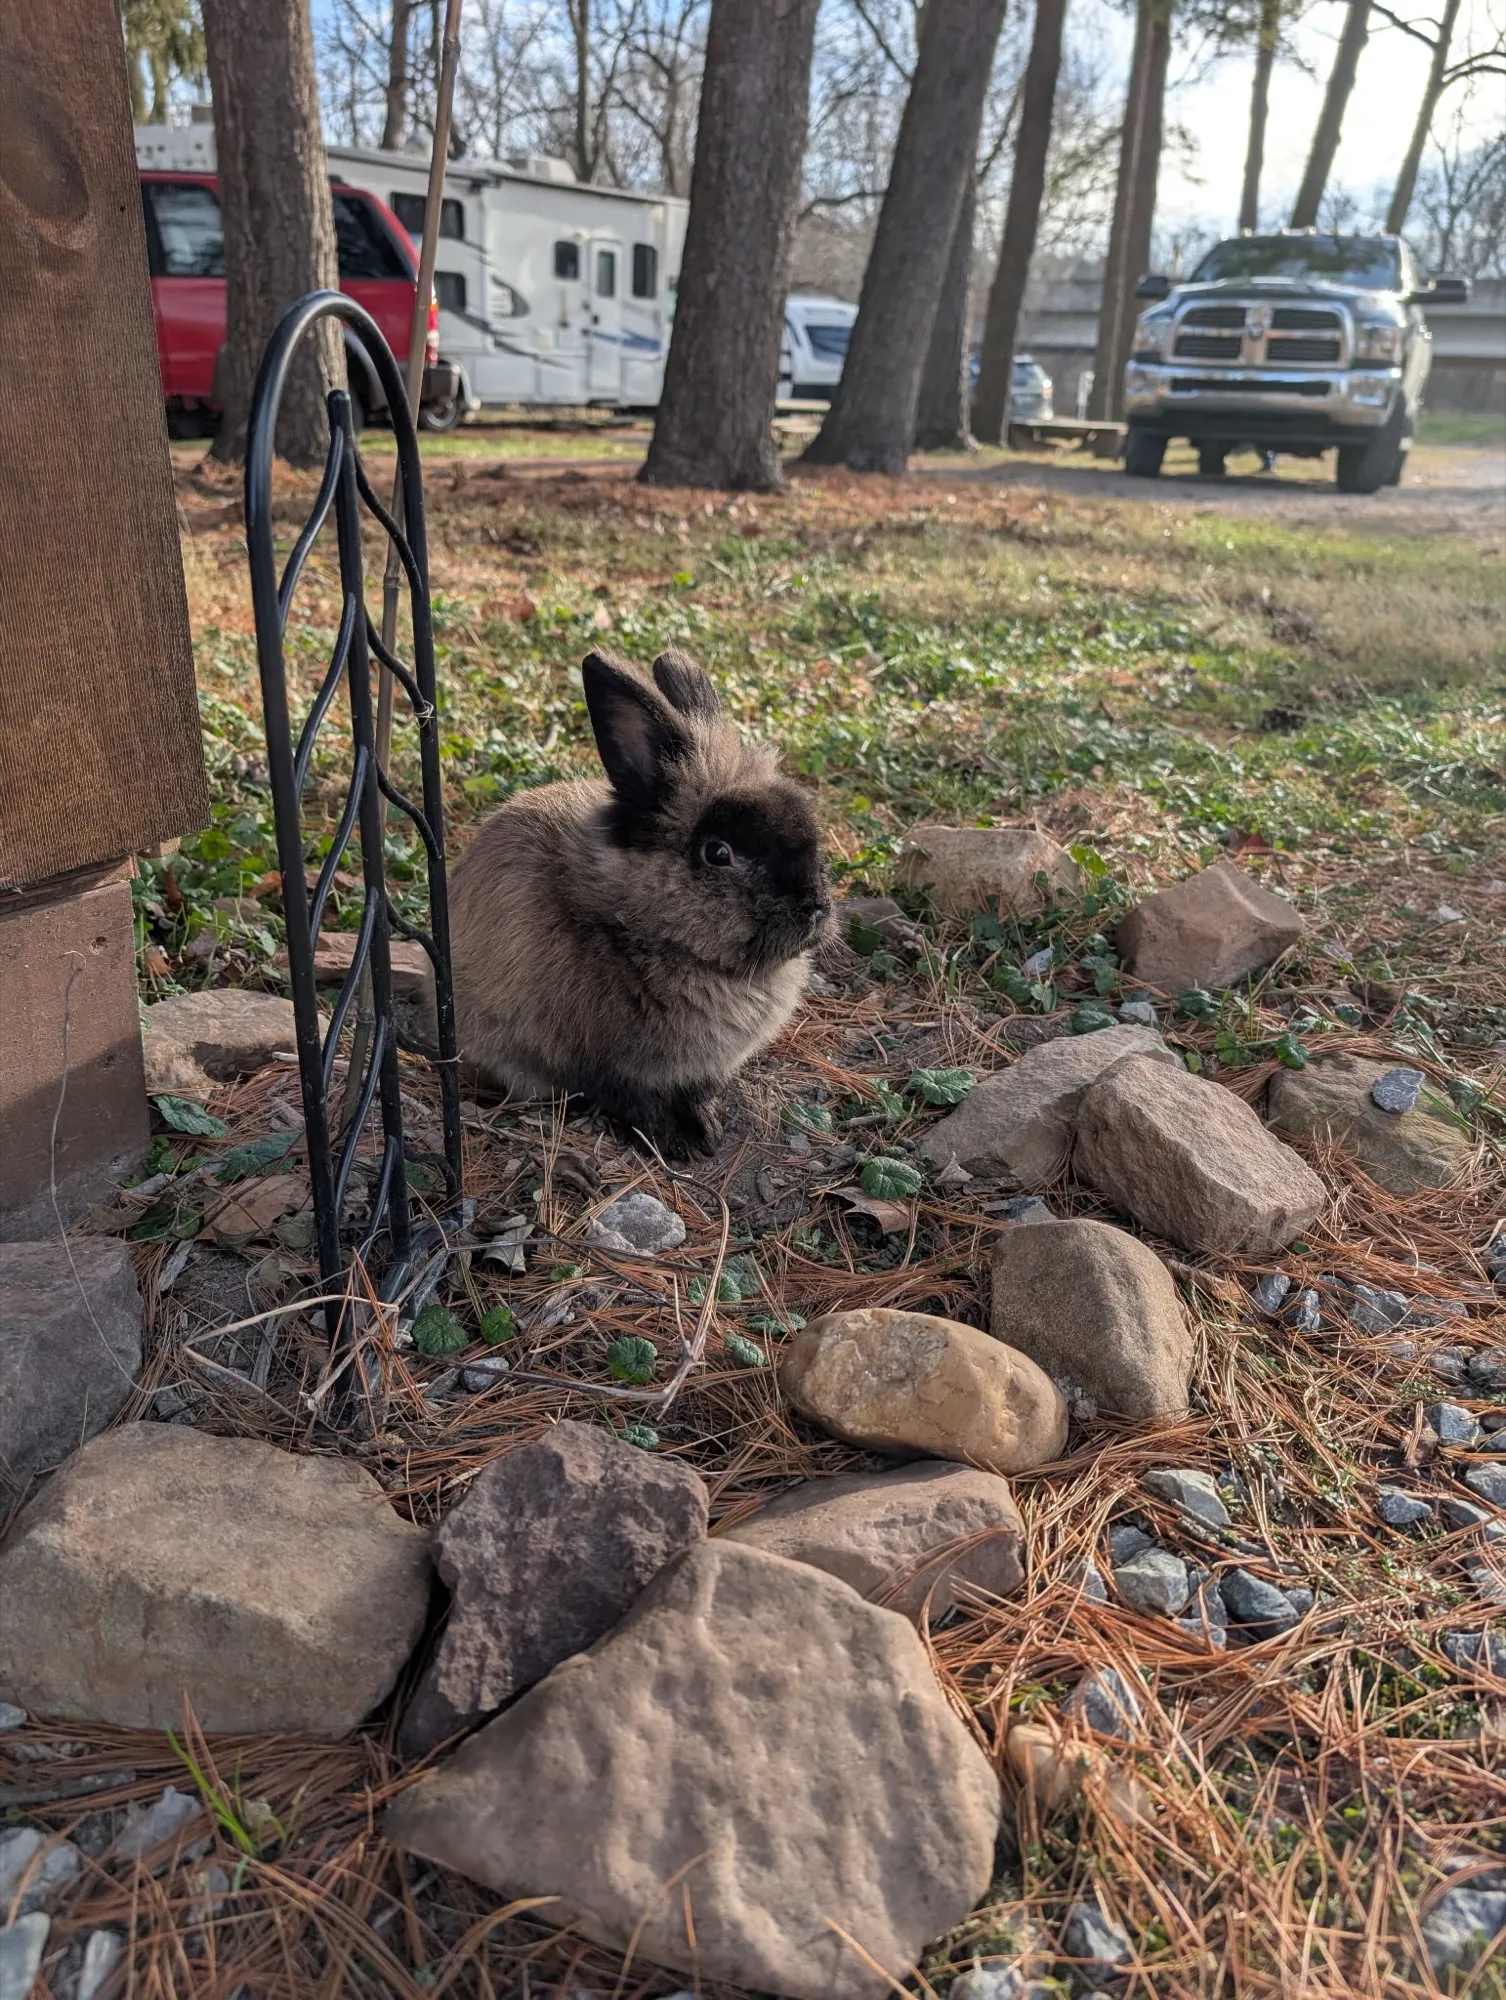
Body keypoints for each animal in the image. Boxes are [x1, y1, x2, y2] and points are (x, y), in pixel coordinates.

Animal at [444, 647, 831, 1156]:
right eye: (718, 853)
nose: (816, 908)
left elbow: (695, 1096)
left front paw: (708, 1130)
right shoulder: (607, 1067)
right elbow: (635, 1103)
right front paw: (680, 1145)